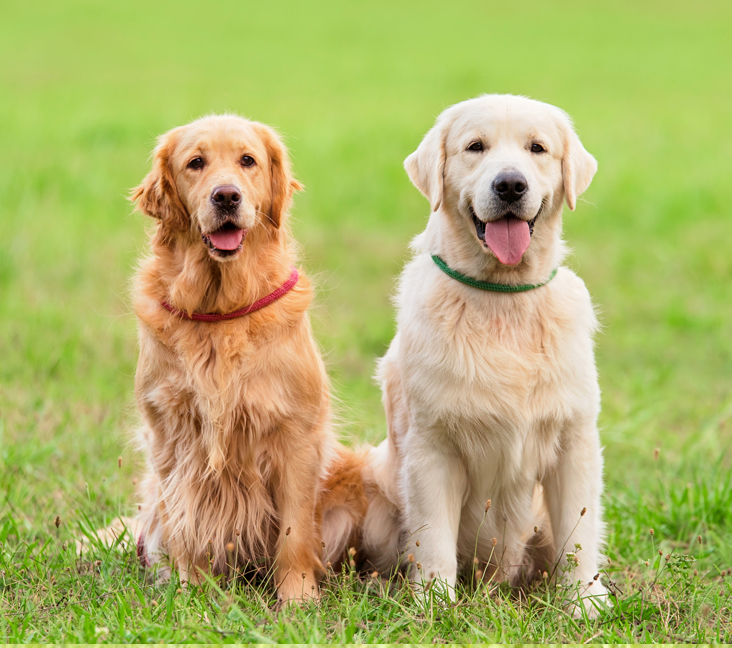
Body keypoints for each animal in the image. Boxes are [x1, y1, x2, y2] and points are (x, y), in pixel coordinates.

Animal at [126, 114, 368, 604]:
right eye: (196, 163)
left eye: (247, 161)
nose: (226, 196)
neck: (220, 310)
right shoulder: (170, 438)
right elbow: (186, 524)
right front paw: (191, 591)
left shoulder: (295, 436)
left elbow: (294, 534)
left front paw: (298, 599)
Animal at [364, 93, 608, 616]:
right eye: (475, 147)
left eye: (537, 148)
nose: (510, 184)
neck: (503, 300)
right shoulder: (432, 446)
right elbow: (433, 537)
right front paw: (435, 604)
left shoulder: (575, 441)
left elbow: (577, 534)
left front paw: (584, 602)